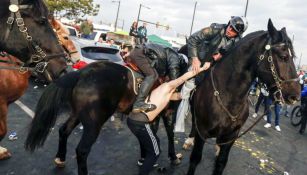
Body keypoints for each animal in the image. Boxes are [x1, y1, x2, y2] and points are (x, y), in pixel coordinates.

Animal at [186, 19, 302, 174]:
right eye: (284, 57)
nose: (295, 96)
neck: (229, 97)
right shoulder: (202, 132)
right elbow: (195, 158)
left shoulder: (231, 137)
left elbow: (221, 162)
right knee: (193, 122)